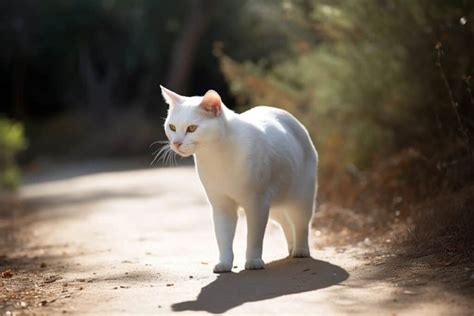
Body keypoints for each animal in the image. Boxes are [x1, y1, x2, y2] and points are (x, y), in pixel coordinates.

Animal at [159, 85, 318, 272]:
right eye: (172, 127)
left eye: (192, 128)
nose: (176, 143)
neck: (216, 157)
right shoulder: (222, 206)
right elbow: (223, 238)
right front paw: (224, 263)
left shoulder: (257, 204)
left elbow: (254, 237)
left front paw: (253, 261)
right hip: (276, 206)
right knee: (286, 224)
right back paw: (292, 248)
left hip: (301, 199)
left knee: (301, 225)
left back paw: (300, 250)